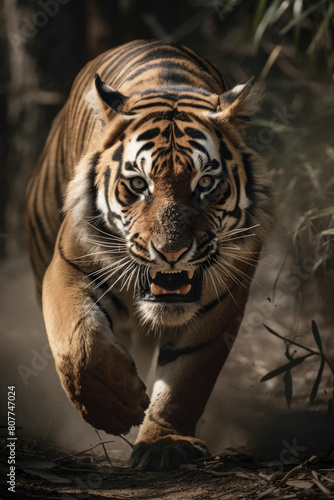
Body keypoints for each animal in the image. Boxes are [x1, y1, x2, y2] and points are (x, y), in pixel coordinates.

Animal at [25, 38, 274, 468]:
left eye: (205, 183)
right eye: (139, 184)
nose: (171, 252)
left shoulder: (224, 297)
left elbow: (187, 380)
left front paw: (164, 443)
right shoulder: (68, 267)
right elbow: (78, 346)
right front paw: (116, 407)